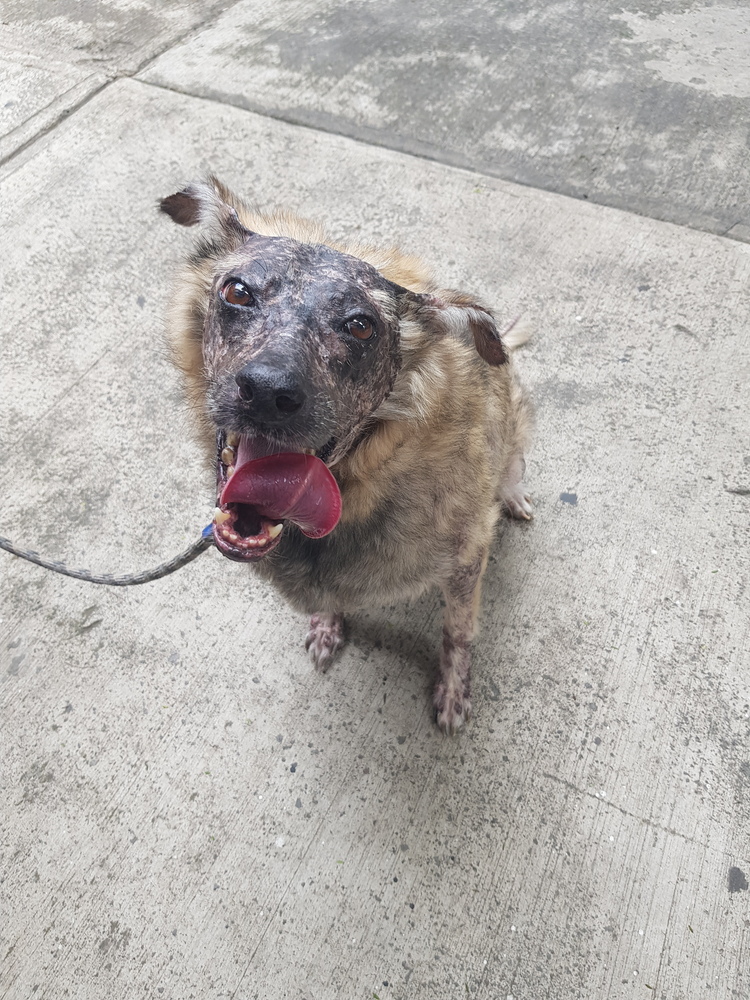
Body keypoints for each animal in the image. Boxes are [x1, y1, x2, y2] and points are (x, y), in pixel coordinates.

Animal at [160, 176, 536, 732]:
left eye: (360, 326)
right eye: (237, 291)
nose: (268, 392)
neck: (365, 479)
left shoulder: (468, 558)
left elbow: (459, 631)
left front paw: (452, 690)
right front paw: (329, 624)